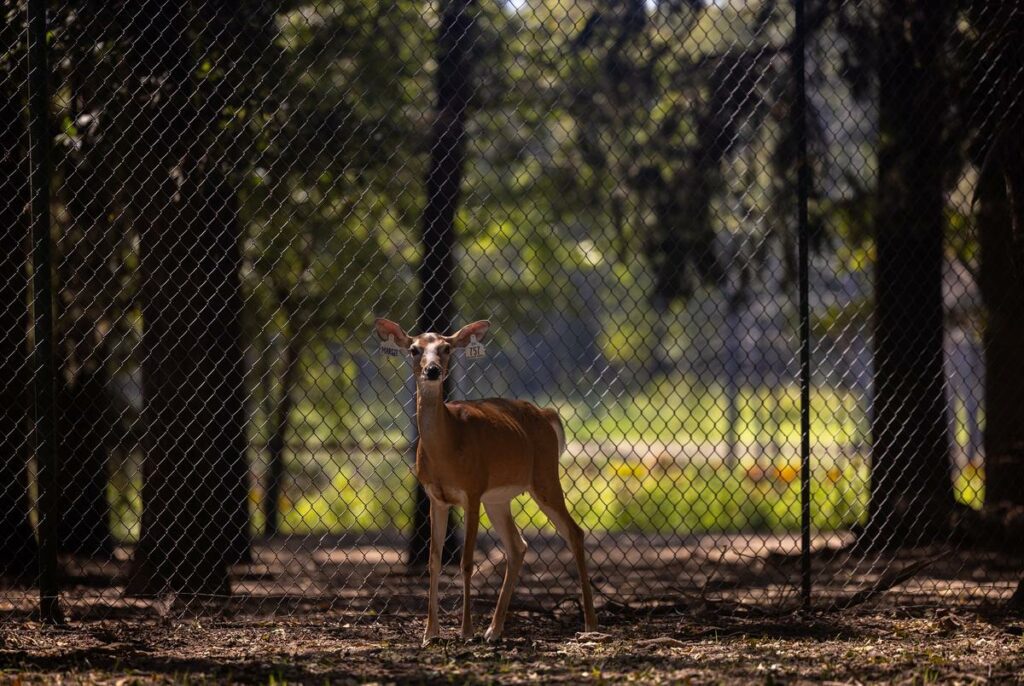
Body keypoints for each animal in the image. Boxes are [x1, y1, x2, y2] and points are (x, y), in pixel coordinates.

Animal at [372, 319, 598, 647]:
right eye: (414, 349)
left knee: (574, 532)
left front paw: (465, 631)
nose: (432, 370)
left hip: (544, 477)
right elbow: (434, 561)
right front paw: (430, 633)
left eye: (446, 348)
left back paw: (590, 624)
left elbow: (466, 562)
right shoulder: (436, 497)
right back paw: (494, 630)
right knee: (518, 545)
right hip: (499, 498)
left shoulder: (473, 490)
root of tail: (546, 414)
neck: (448, 448)